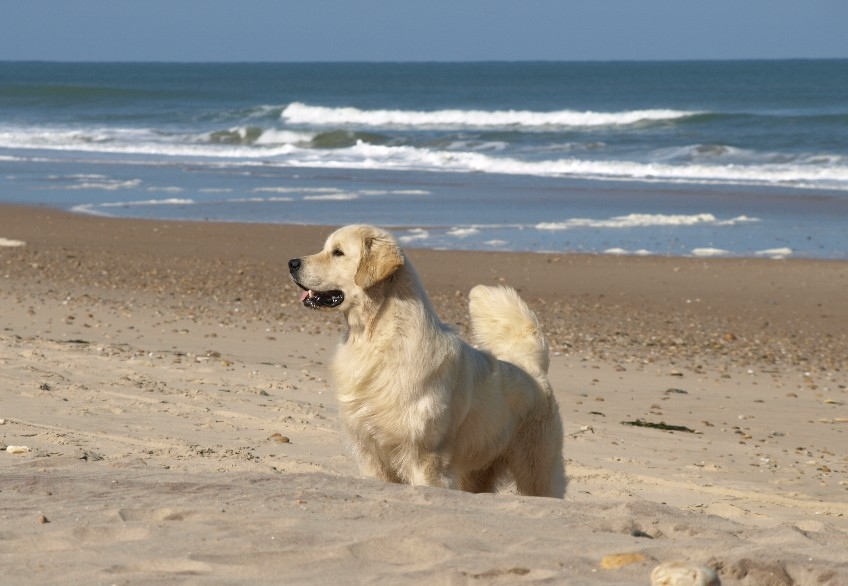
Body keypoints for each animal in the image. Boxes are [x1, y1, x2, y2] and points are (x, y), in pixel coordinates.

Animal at [288, 225, 568, 498]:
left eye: (338, 252)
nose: (291, 263)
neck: (378, 337)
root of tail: (531, 367)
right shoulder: (371, 454)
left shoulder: (425, 457)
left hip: (535, 469)